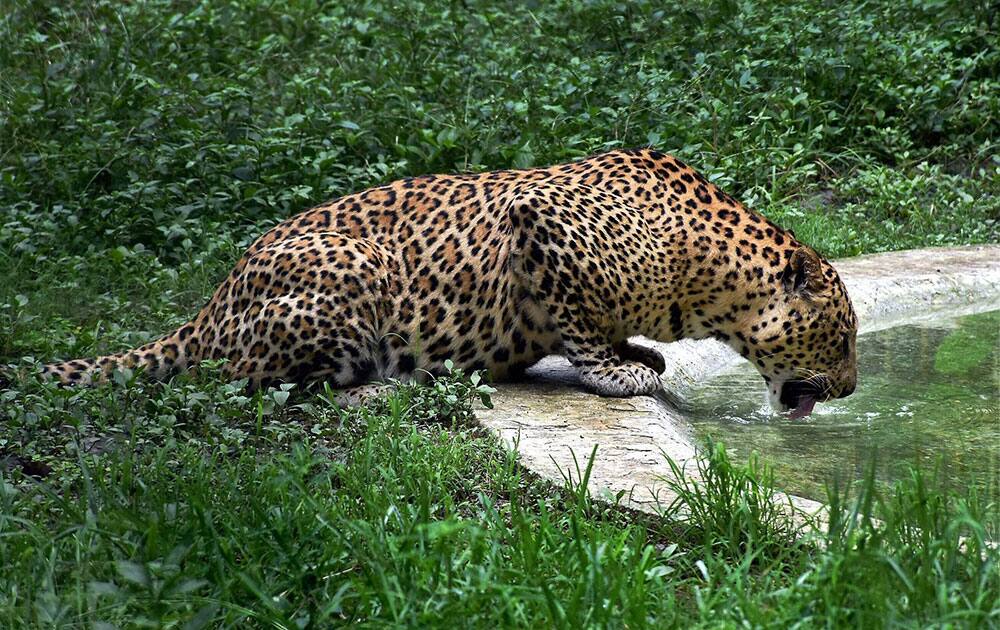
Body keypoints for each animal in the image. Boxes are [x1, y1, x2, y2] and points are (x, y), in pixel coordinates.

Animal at [33, 149, 860, 420]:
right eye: (842, 338)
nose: (853, 388)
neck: (708, 282)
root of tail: (210, 301)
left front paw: (640, 354)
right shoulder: (542, 221)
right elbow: (582, 326)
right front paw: (619, 371)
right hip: (354, 267)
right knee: (248, 384)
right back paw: (394, 387)